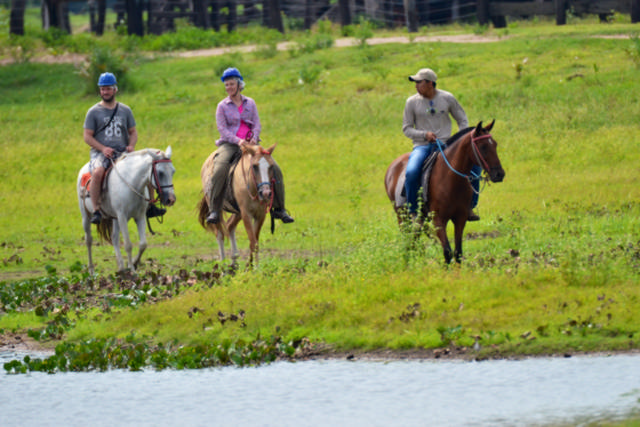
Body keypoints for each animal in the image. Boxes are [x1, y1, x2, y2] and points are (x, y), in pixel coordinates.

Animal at [384, 118, 504, 262]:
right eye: (483, 146)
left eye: (495, 145)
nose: (499, 174)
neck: (451, 179)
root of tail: (391, 168)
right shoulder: (438, 220)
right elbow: (447, 252)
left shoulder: (460, 218)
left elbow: (458, 252)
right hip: (402, 216)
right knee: (408, 241)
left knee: (414, 239)